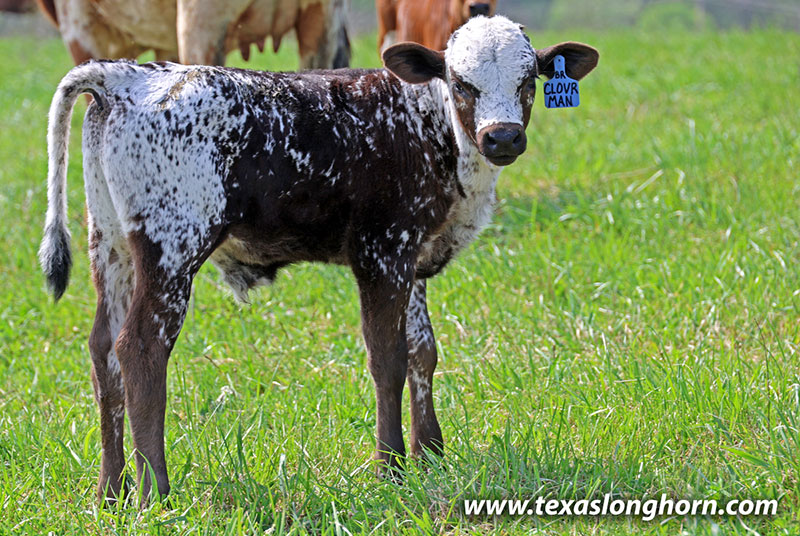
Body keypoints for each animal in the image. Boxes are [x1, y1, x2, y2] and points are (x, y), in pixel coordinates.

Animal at [40, 15, 598, 503]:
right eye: (462, 83)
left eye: (529, 80)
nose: (502, 137)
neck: (421, 121)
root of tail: (126, 75)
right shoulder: (382, 252)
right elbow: (388, 358)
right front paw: (391, 466)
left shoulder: (412, 257)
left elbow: (423, 351)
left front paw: (431, 454)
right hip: (172, 249)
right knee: (140, 349)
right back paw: (155, 491)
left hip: (110, 247)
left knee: (103, 352)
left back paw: (111, 491)